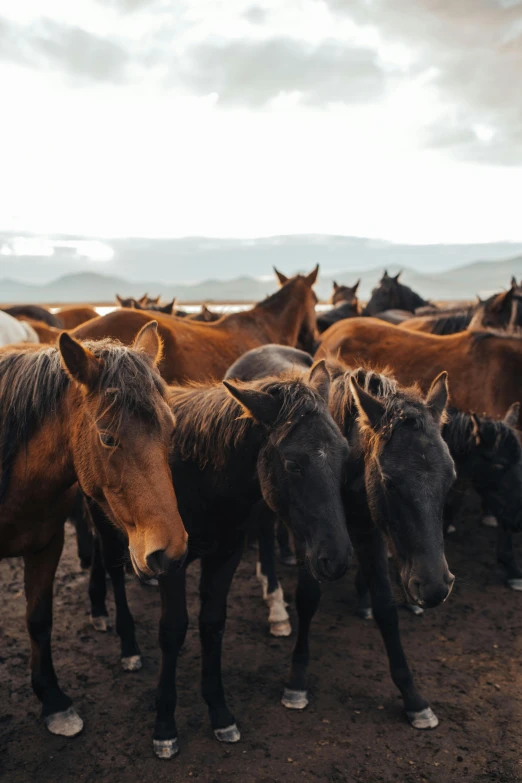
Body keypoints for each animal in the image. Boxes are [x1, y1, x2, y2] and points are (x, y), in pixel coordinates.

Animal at [0, 322, 187, 740]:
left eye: (171, 430)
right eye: (107, 437)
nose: (170, 551)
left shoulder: (46, 545)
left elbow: (39, 620)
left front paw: (54, 701)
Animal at [225, 346, 452, 732]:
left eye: (451, 476)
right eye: (390, 481)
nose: (435, 585)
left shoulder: (369, 535)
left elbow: (387, 609)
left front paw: (413, 698)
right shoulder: (314, 540)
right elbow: (308, 598)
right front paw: (297, 680)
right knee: (266, 534)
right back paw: (274, 603)